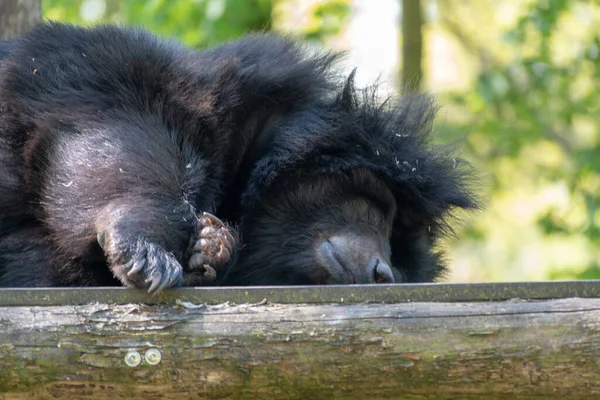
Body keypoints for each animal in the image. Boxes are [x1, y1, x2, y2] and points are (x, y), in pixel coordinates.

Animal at [0, 21, 478, 292]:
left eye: (401, 261)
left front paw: (212, 250)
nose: (383, 272)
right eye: (375, 214)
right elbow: (114, 127)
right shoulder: (104, 71)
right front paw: (143, 241)